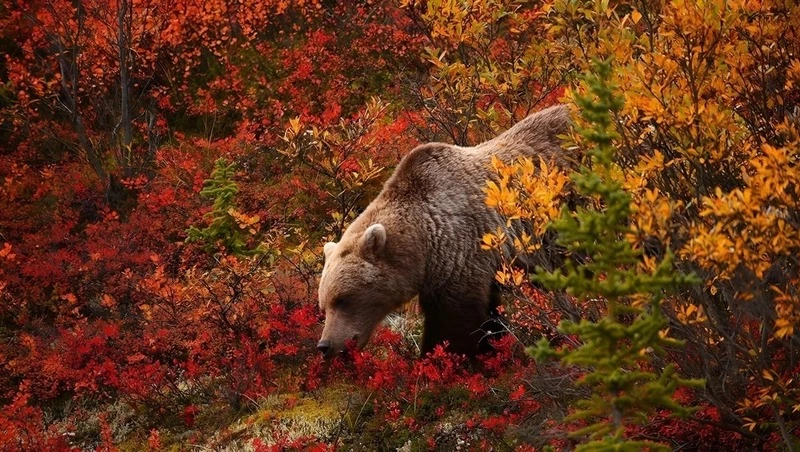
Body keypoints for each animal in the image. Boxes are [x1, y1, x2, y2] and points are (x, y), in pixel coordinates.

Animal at [316, 105, 572, 358]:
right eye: (323, 304)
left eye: (343, 299)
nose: (325, 345)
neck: (422, 243)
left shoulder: (460, 251)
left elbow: (453, 324)